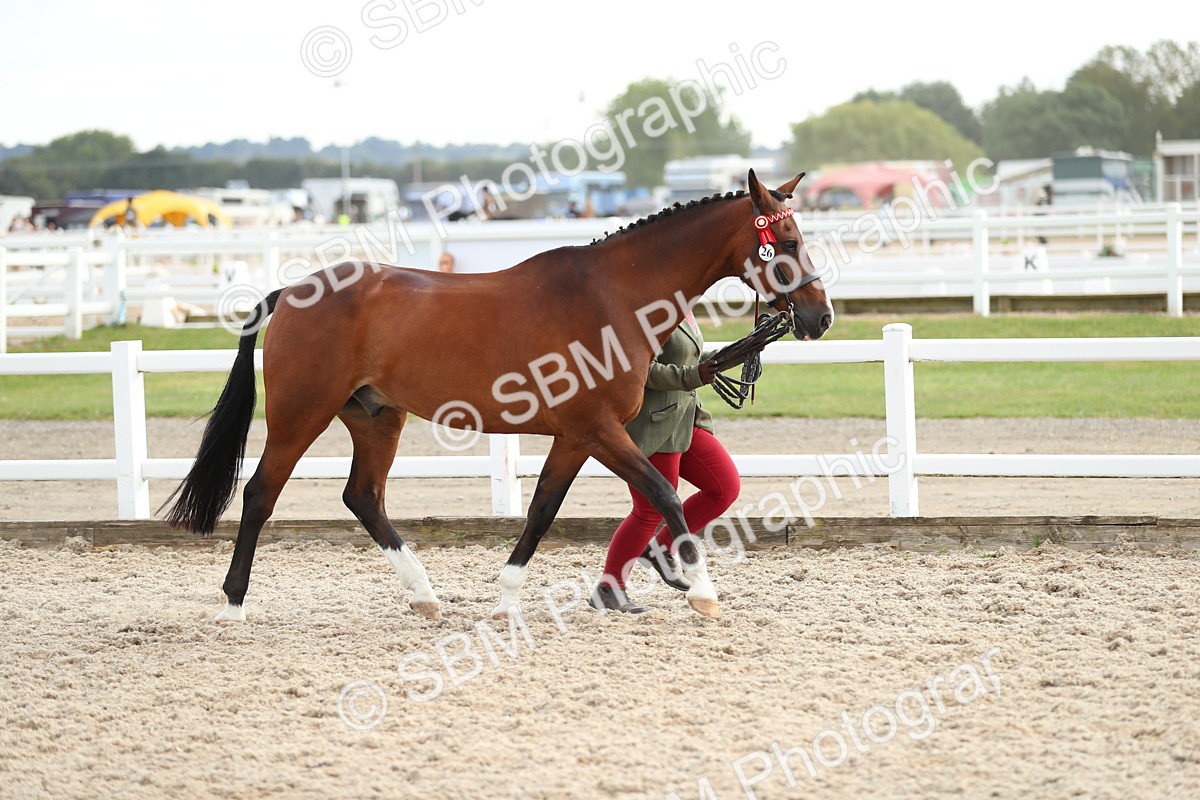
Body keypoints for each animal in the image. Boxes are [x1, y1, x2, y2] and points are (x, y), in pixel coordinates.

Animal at [162, 169, 834, 623]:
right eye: (787, 242)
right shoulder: (600, 431)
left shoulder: (576, 436)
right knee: (260, 494)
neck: (614, 294)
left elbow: (541, 510)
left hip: (377, 418)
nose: (820, 317)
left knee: (363, 497)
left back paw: (425, 596)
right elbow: (665, 495)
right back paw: (233, 605)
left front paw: (508, 596)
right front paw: (703, 593)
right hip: (300, 416)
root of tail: (292, 292)